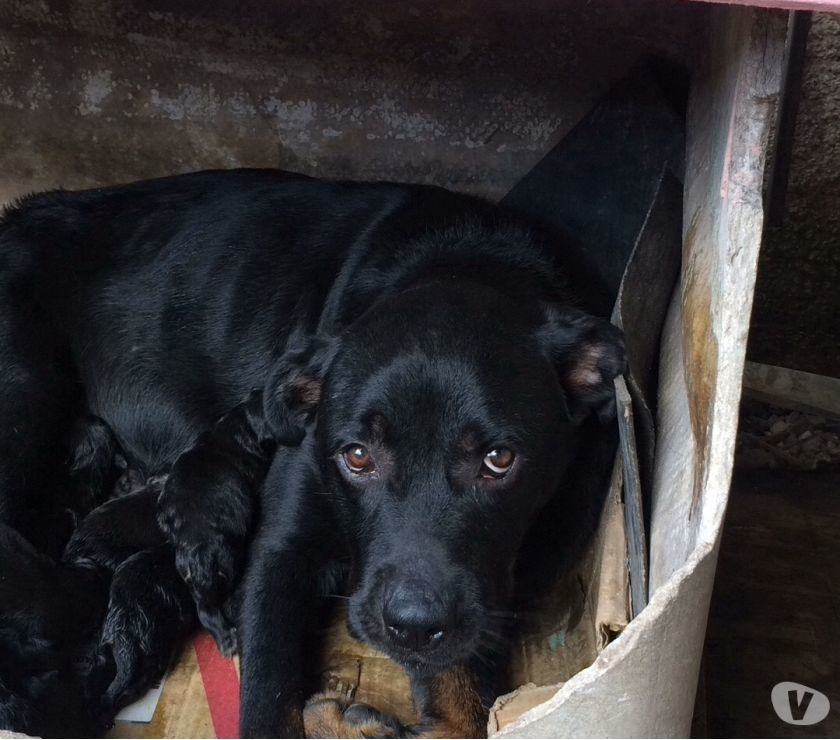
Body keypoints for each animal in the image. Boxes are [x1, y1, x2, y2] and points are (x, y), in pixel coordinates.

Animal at [0, 171, 624, 736]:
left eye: (499, 459)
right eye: (357, 456)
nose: (411, 627)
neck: (469, 261)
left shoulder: (483, 599)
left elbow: (465, 716)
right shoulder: (279, 554)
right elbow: (268, 706)